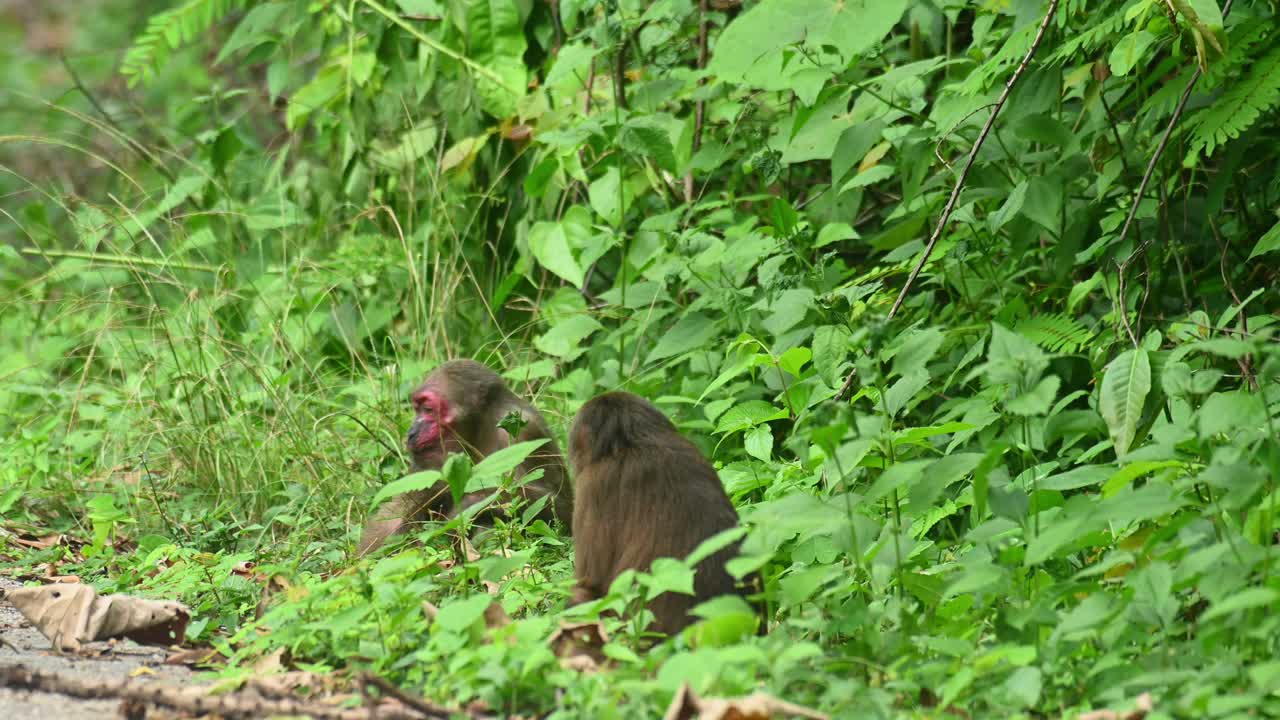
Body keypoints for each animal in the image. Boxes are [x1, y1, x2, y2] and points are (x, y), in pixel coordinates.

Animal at [356, 359, 573, 556]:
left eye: (428, 410)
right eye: (417, 409)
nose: (411, 432)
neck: (480, 430)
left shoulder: (523, 431)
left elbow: (561, 512)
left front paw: (464, 506)